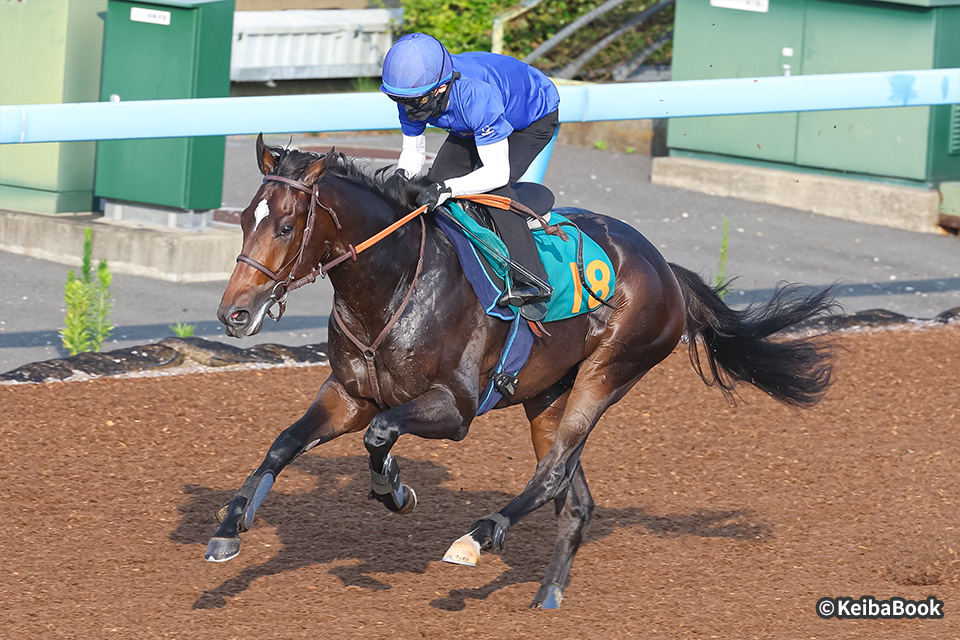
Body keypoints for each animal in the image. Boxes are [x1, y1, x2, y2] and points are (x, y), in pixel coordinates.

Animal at [206, 134, 838, 609]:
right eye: (243, 221)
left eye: (286, 226)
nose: (234, 313)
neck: (391, 287)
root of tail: (664, 267)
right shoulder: (348, 394)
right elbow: (285, 442)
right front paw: (229, 528)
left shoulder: (456, 408)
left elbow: (381, 434)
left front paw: (396, 490)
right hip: (546, 395)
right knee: (575, 498)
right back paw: (546, 597)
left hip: (607, 373)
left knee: (555, 473)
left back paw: (477, 538)